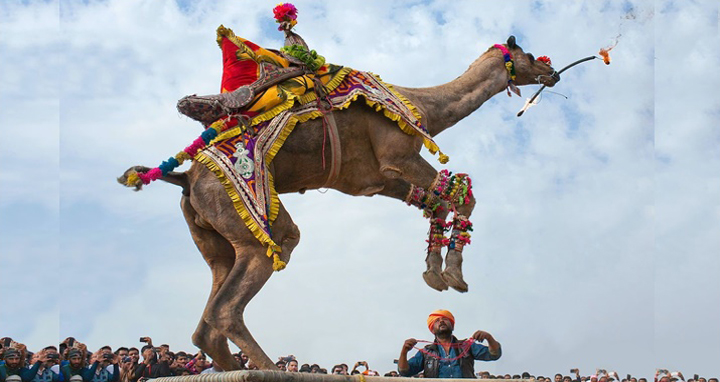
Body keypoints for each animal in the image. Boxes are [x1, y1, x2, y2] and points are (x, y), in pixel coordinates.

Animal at [118, 2, 560, 374]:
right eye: (529, 54)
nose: (552, 73)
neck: (421, 105)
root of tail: (184, 178)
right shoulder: (399, 156)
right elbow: (464, 196)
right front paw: (453, 275)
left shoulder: (376, 180)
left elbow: (436, 203)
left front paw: (435, 274)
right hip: (247, 220)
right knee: (236, 297)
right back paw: (271, 367)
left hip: (212, 233)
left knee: (208, 318)